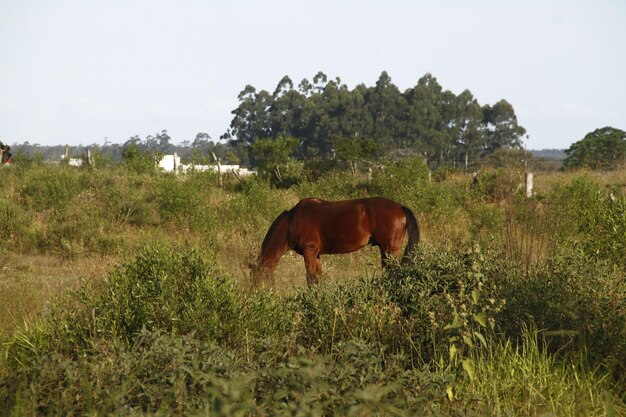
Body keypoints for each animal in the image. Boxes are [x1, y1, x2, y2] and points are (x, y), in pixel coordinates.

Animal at [250, 196, 420, 286]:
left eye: (257, 280)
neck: (292, 221)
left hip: (389, 248)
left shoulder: (309, 251)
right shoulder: (316, 255)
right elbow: (318, 278)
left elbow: (311, 278)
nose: (258, 297)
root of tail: (400, 207)